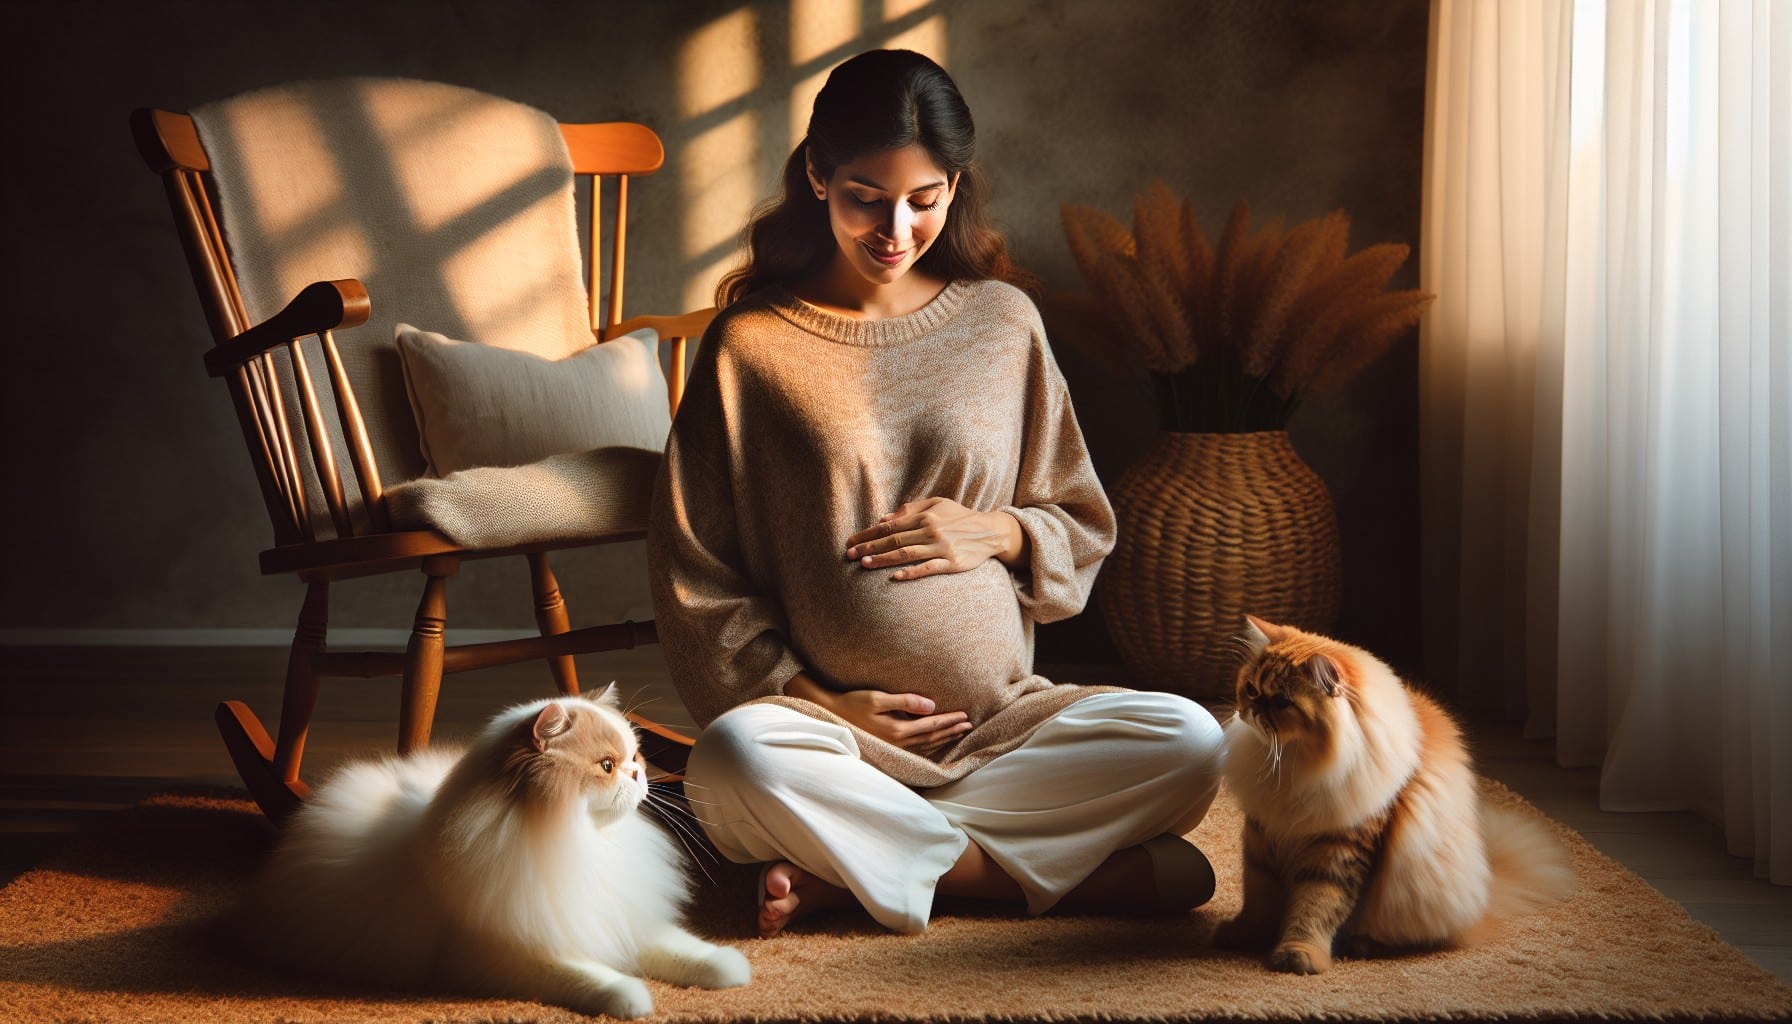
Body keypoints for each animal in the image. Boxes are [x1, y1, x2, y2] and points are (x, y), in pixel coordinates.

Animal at [241, 685, 745, 1018]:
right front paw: (632, 998)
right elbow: (592, 976)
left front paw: (730, 967)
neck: (578, 842)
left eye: (635, 758)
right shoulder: (504, 952)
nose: (638, 776)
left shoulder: (616, 913)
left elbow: (680, 946)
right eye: (607, 766)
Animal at [1218, 613, 1569, 975]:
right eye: (1251, 689)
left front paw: (1298, 954)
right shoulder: (1262, 837)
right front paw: (1245, 935)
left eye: (1281, 702)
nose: (1252, 710)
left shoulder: (1338, 848)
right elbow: (1258, 899)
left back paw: (1361, 946)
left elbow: (1315, 906)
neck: (1291, 764)